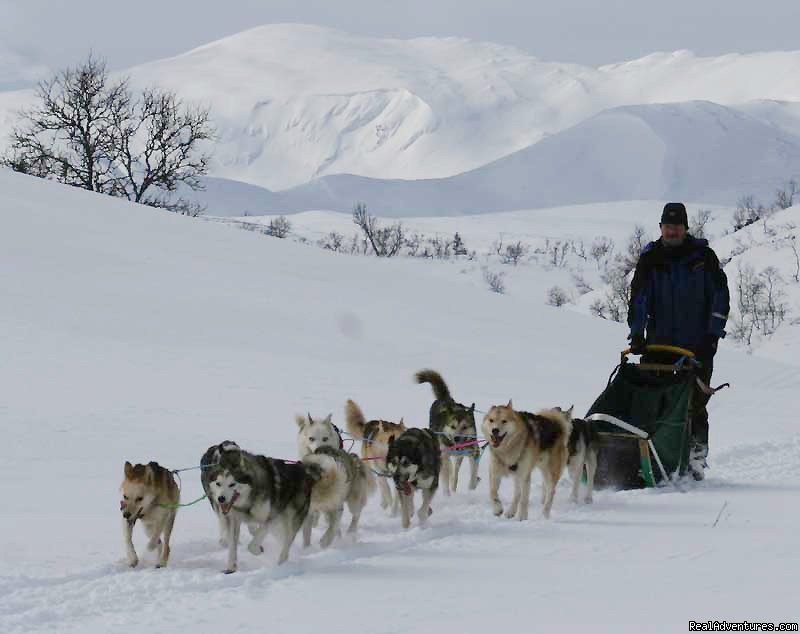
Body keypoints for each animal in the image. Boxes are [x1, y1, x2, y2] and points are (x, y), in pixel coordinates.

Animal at [202, 442, 318, 572]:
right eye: (218, 483)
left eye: (232, 484)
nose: (221, 499)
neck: (248, 500)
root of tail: (304, 470)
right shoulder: (233, 520)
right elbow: (232, 546)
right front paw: (231, 568)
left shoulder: (270, 518)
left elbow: (252, 545)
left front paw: (258, 550)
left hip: (291, 519)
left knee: (287, 541)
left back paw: (281, 564)